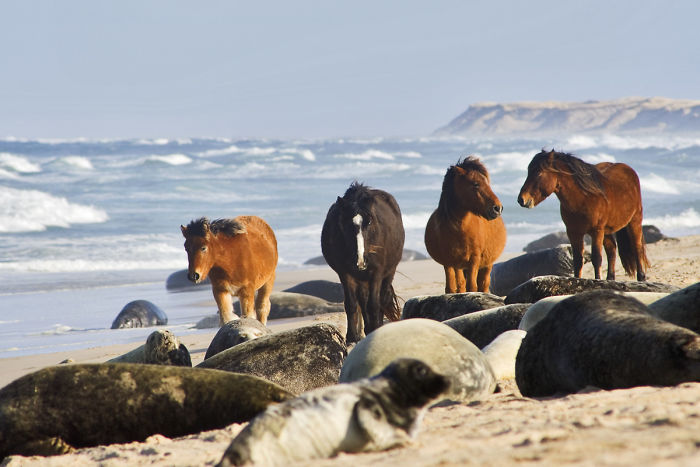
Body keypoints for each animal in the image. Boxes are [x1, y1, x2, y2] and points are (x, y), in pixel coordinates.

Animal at [321, 182, 405, 344]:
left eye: (370, 221)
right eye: (346, 223)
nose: (360, 260)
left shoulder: (376, 273)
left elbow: (374, 305)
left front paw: (375, 329)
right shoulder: (345, 274)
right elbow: (351, 304)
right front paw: (351, 337)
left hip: (388, 272)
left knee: (382, 299)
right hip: (361, 279)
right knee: (363, 301)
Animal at [424, 157, 506, 293]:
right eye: (475, 184)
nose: (497, 208)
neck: (459, 230)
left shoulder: (474, 259)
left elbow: (472, 286)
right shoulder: (450, 262)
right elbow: (453, 287)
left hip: (486, 265)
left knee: (483, 284)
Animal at [517, 149, 649, 281]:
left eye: (539, 173)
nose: (521, 200)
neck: (584, 198)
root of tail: (628, 169)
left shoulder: (596, 231)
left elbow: (597, 258)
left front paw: (597, 280)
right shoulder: (574, 232)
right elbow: (577, 260)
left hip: (634, 221)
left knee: (637, 248)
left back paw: (641, 277)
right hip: (607, 230)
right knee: (612, 249)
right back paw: (610, 278)